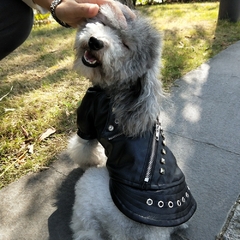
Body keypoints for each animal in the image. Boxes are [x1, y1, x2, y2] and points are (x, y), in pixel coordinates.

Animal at [68, 2, 197, 239]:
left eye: (126, 45)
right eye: (106, 24)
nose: (95, 41)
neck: (116, 88)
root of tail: (154, 233)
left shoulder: (87, 122)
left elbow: (83, 148)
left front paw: (86, 160)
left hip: (89, 189)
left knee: (86, 228)